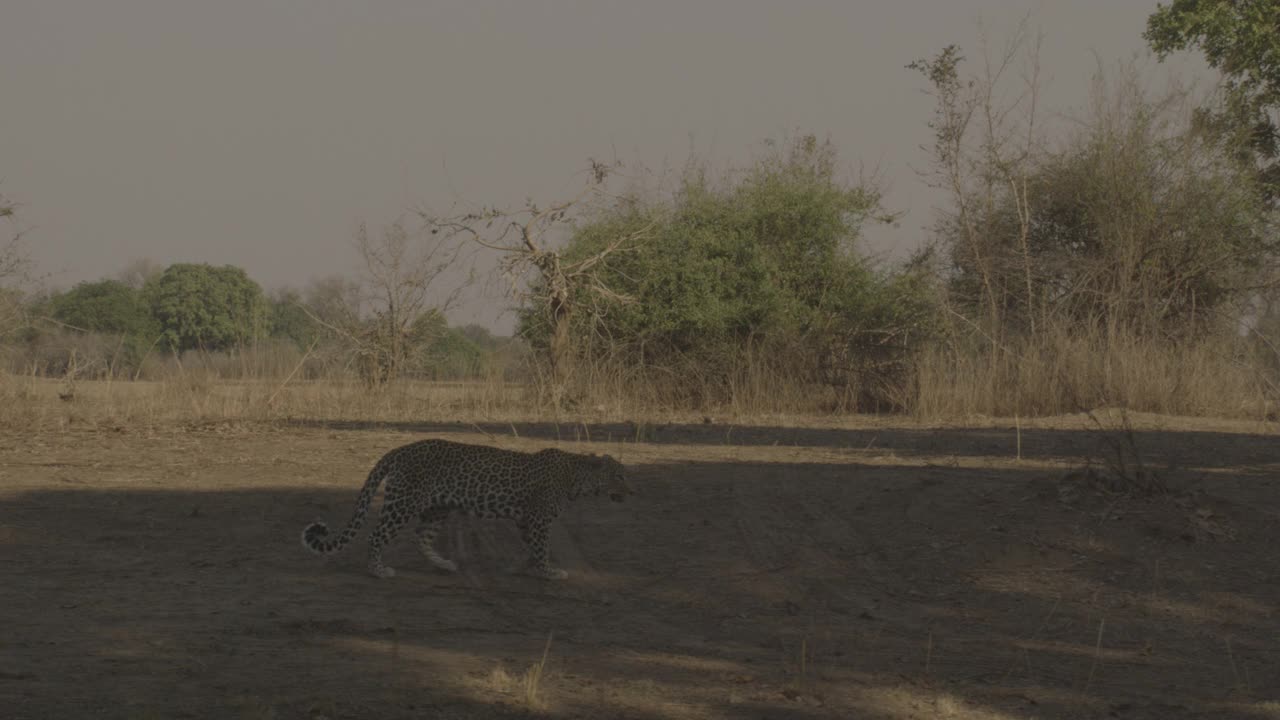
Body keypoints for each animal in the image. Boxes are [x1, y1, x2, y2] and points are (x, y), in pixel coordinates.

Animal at [305, 435, 634, 579]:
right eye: (619, 475)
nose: (632, 491)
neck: (577, 479)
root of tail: (400, 449)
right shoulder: (539, 518)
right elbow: (542, 548)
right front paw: (549, 571)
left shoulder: (527, 520)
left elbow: (531, 547)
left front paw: (518, 567)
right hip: (403, 502)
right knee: (377, 535)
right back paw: (378, 570)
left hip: (436, 508)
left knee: (422, 537)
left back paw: (444, 564)